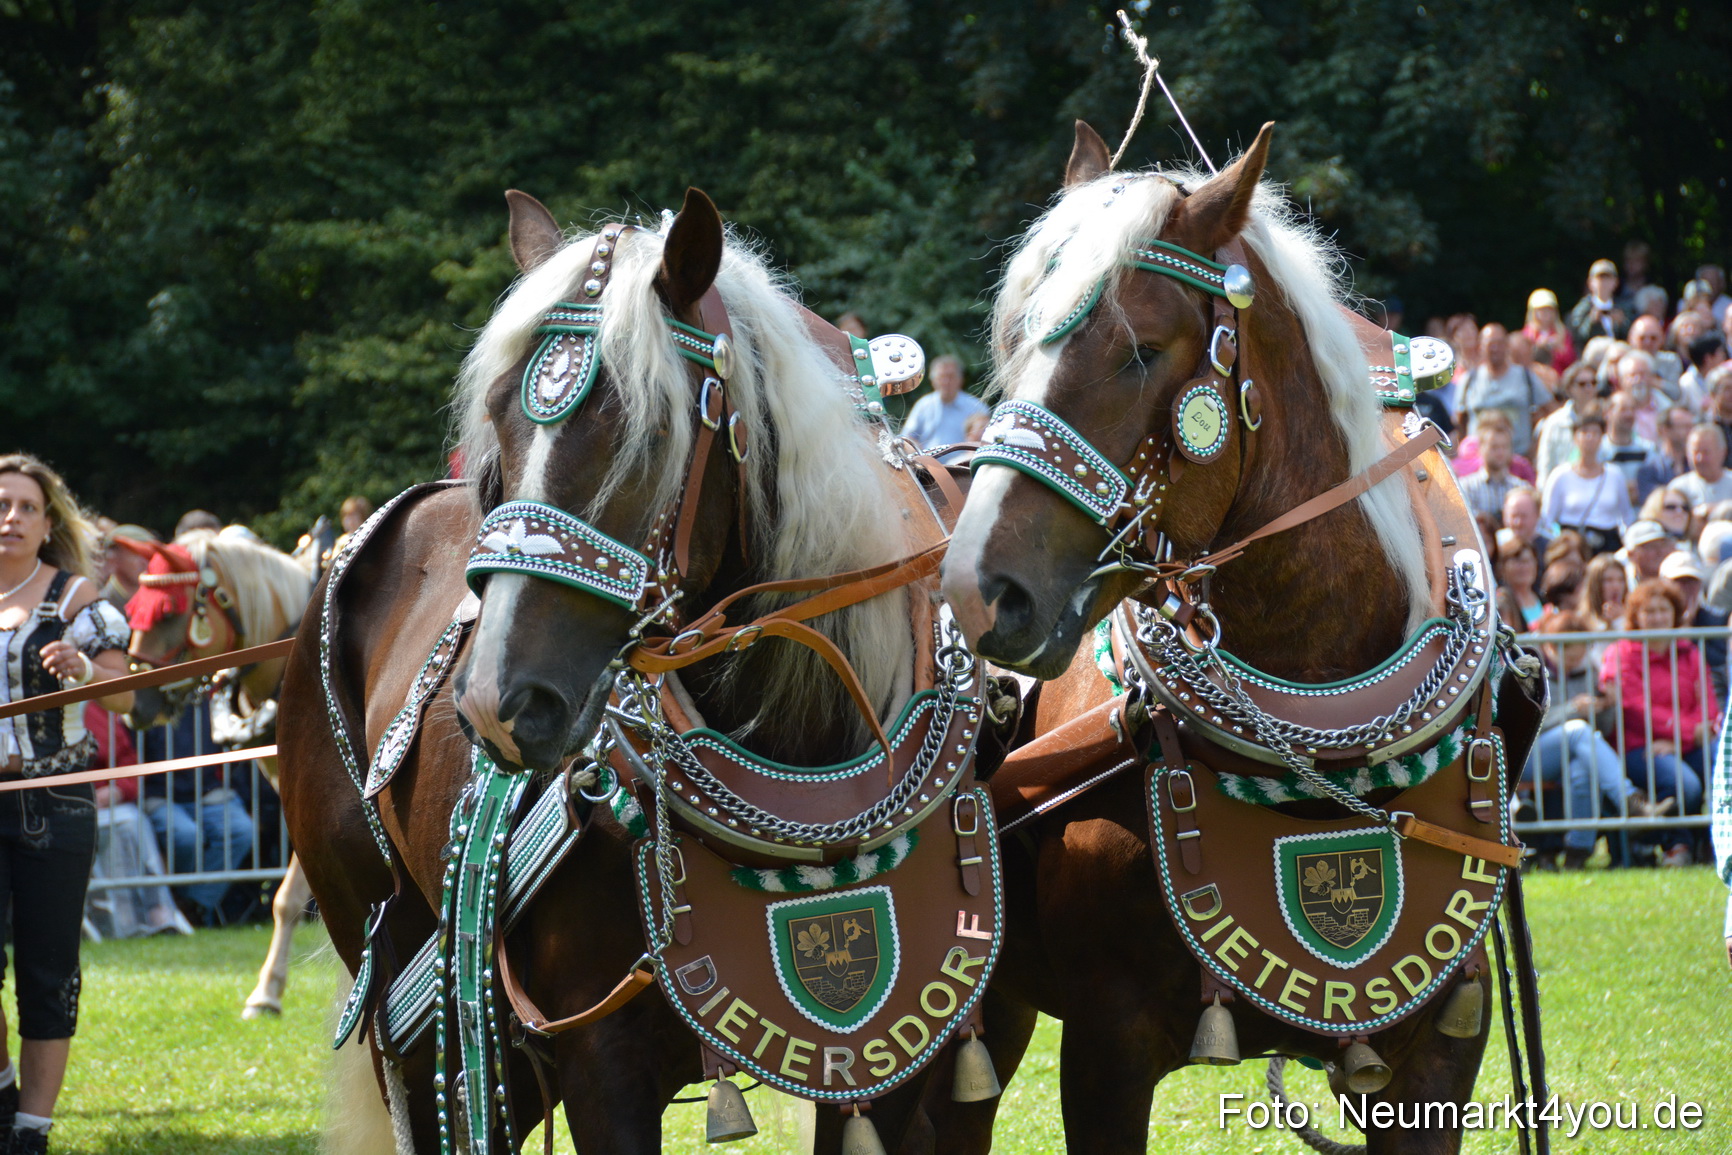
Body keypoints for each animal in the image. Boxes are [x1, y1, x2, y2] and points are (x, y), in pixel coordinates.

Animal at [278, 187, 961, 1153]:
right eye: (497, 422)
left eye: (648, 432)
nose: (497, 703)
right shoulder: (602, 1063)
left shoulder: (896, 1062)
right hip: (399, 988)